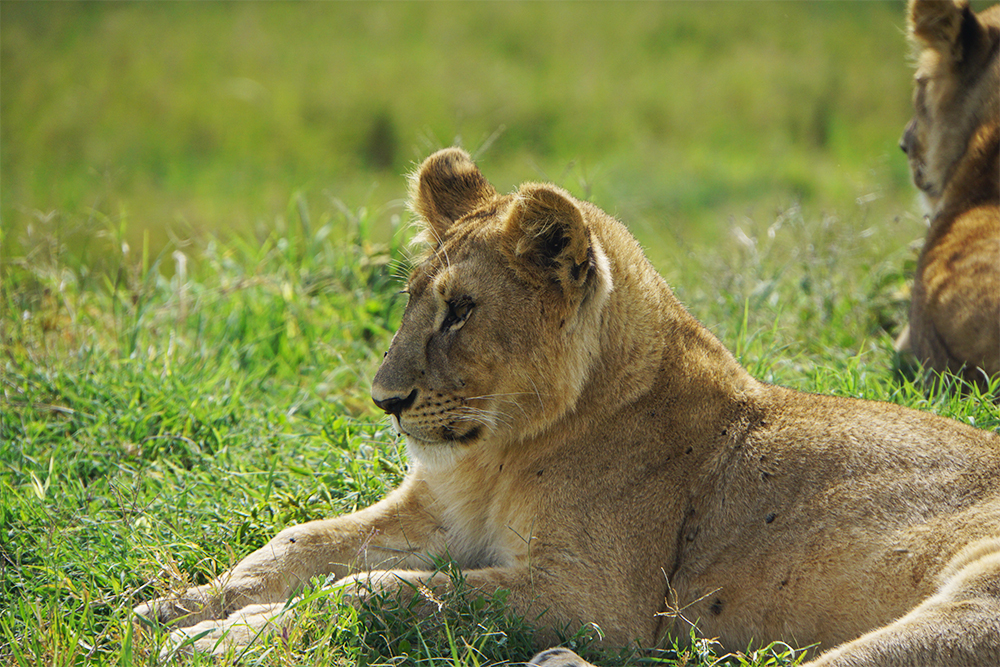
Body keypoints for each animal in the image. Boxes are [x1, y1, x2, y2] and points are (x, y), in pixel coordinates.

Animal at [137, 149, 1000, 664]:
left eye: (461, 310)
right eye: (412, 300)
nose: (385, 398)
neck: (499, 452)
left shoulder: (595, 597)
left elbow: (378, 591)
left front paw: (217, 638)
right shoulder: (438, 517)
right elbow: (295, 544)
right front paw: (173, 606)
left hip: (962, 608)